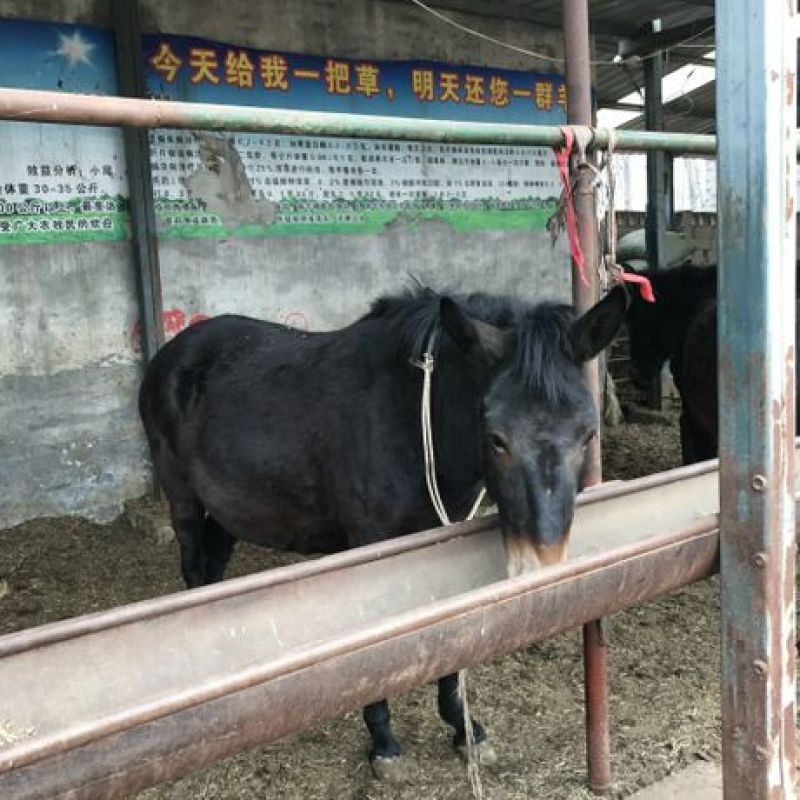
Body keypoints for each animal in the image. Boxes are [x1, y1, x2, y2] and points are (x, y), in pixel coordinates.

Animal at [138, 283, 628, 781]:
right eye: (496, 437)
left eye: (588, 434)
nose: (541, 566)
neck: (412, 418)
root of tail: (173, 353)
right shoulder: (371, 544)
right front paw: (385, 743)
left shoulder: (443, 535)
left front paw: (465, 730)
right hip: (183, 499)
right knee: (194, 568)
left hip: (229, 510)